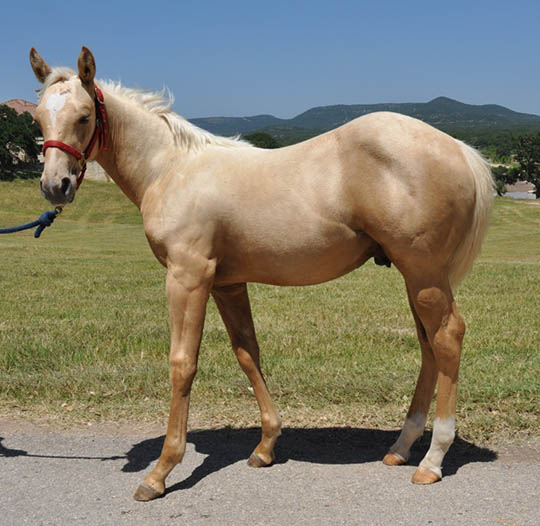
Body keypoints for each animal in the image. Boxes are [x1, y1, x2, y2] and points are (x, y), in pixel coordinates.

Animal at [29, 47, 494, 502]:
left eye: (84, 116)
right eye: (38, 119)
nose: (55, 187)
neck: (173, 169)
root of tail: (459, 148)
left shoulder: (188, 277)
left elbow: (182, 363)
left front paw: (160, 471)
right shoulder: (228, 284)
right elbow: (247, 353)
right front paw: (266, 446)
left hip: (424, 275)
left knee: (447, 337)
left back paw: (432, 460)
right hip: (416, 278)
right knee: (429, 346)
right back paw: (401, 447)